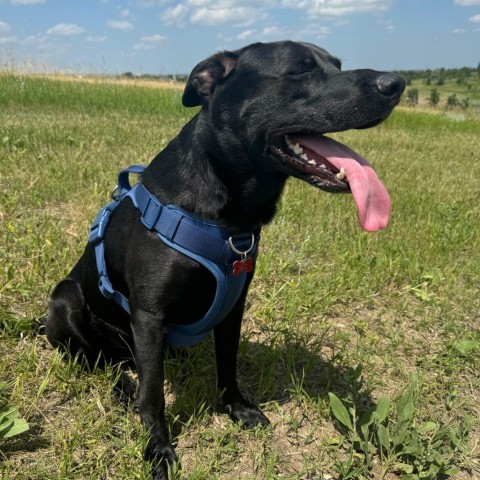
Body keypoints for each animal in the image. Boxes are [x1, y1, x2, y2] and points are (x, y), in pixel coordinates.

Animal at [46, 40, 404, 476]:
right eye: (299, 70)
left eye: (337, 65)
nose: (397, 83)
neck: (227, 217)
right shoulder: (149, 315)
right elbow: (154, 396)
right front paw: (158, 449)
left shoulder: (234, 303)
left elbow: (227, 362)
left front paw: (237, 407)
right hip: (66, 299)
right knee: (100, 361)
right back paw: (122, 386)